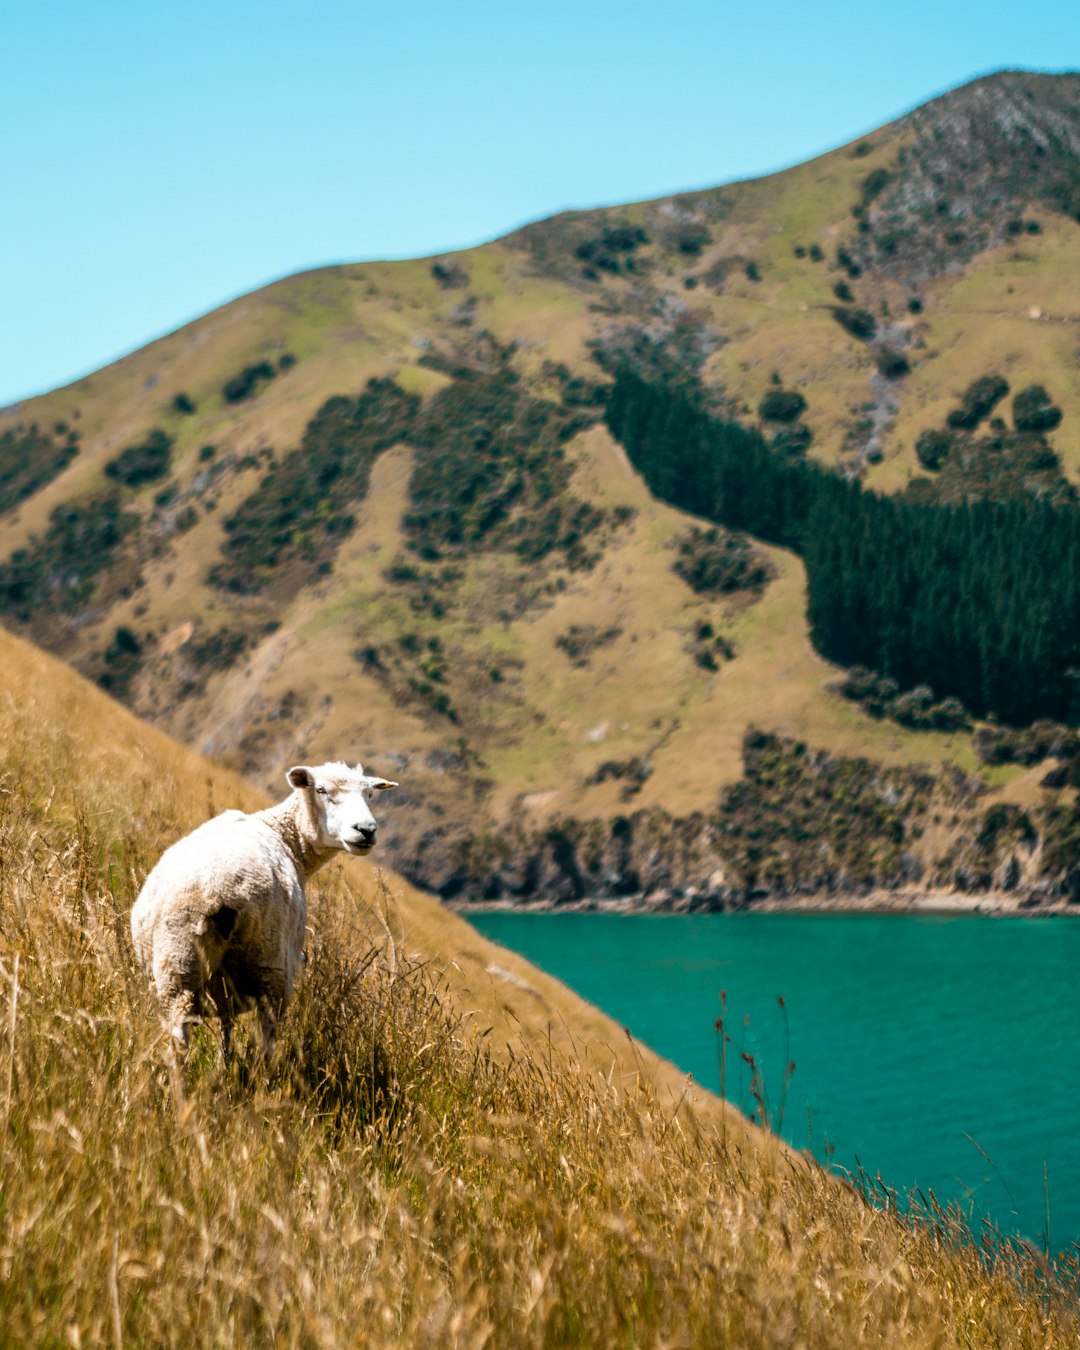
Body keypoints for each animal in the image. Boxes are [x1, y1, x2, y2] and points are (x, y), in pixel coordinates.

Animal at [130, 766, 399, 1058]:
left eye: (369, 794)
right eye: (321, 790)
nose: (366, 830)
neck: (285, 836)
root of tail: (214, 890)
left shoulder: (222, 990)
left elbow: (226, 1029)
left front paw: (224, 1060)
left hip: (175, 963)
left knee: (178, 1040)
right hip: (270, 966)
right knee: (265, 1045)